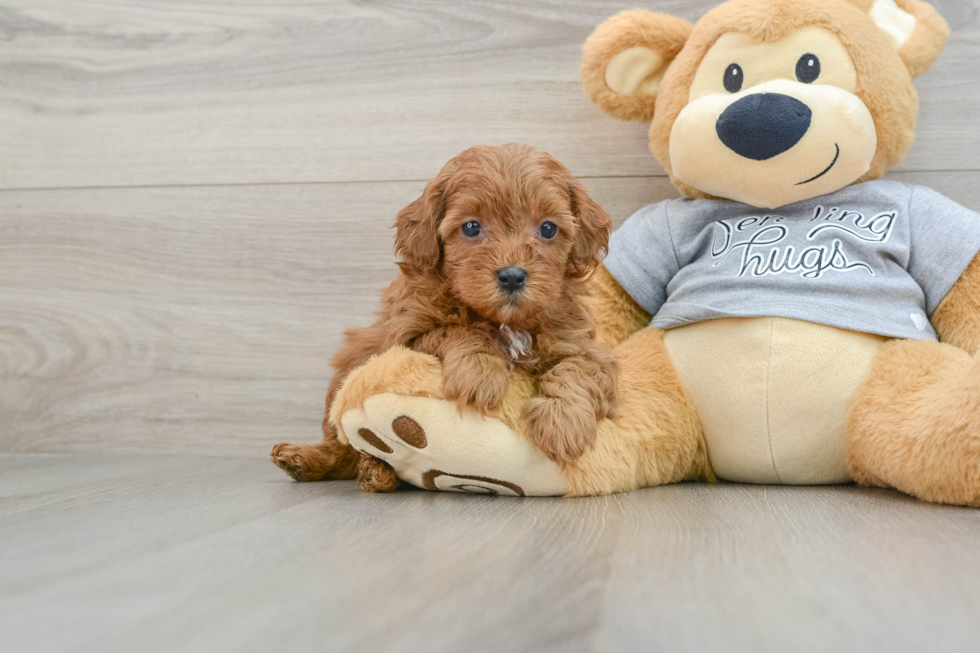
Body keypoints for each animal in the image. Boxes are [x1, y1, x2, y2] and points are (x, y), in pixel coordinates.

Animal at [272, 143, 616, 488]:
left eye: (548, 228)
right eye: (471, 227)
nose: (512, 276)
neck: (504, 321)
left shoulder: (580, 344)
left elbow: (578, 369)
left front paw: (564, 422)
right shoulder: (405, 336)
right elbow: (456, 329)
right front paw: (480, 372)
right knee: (341, 448)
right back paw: (322, 462)